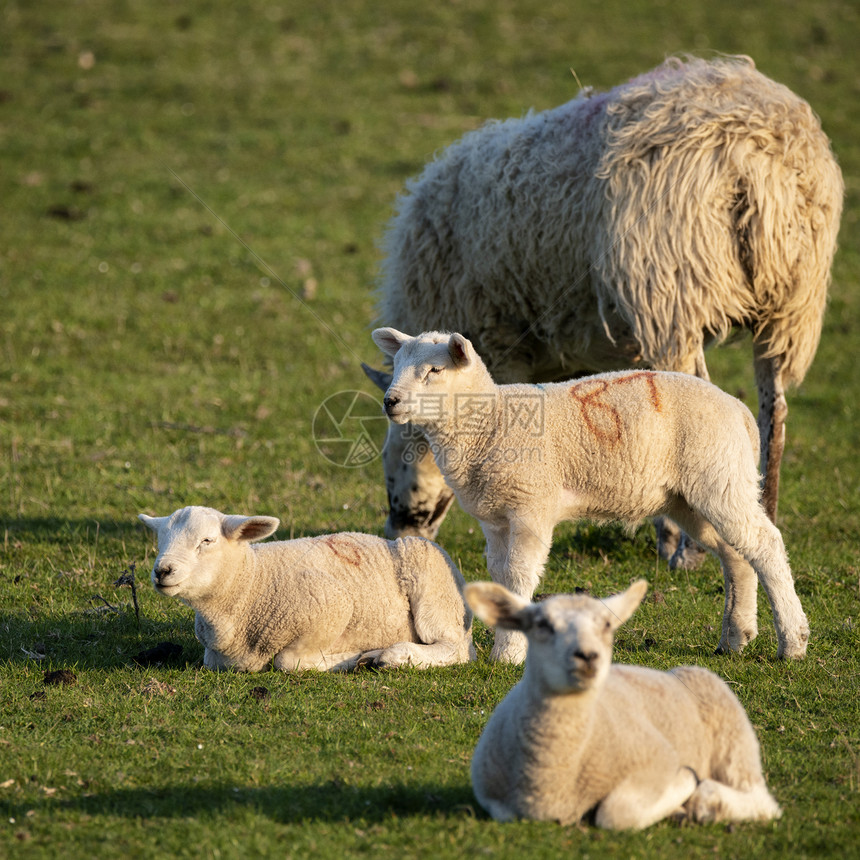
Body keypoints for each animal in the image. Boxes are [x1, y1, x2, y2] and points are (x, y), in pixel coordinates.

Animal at [141, 504, 478, 672]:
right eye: (161, 540)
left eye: (207, 540)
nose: (162, 571)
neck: (252, 583)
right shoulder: (216, 657)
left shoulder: (334, 605)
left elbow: (288, 662)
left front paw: (350, 659)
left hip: (435, 589)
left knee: (455, 647)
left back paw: (391, 656)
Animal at [372, 326, 808, 660]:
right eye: (397, 365)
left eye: (434, 370)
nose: (390, 401)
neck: (488, 422)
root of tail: (740, 412)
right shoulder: (495, 517)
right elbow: (499, 575)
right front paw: (503, 645)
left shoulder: (531, 504)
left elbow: (518, 575)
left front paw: (509, 655)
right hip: (692, 497)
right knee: (737, 555)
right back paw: (736, 637)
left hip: (719, 477)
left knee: (766, 545)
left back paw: (793, 642)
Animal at [466, 580, 784, 828]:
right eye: (543, 625)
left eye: (607, 625)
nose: (588, 656)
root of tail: (674, 671)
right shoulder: (493, 799)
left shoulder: (657, 761)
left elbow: (615, 814)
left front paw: (686, 786)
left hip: (734, 743)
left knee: (762, 801)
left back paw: (705, 801)